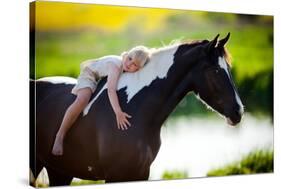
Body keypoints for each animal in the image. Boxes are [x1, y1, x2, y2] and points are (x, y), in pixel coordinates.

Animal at [29, 32, 242, 186]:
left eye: (229, 69)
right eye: (215, 70)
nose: (238, 112)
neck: (137, 110)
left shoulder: (140, 173)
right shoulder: (114, 175)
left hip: (60, 171)